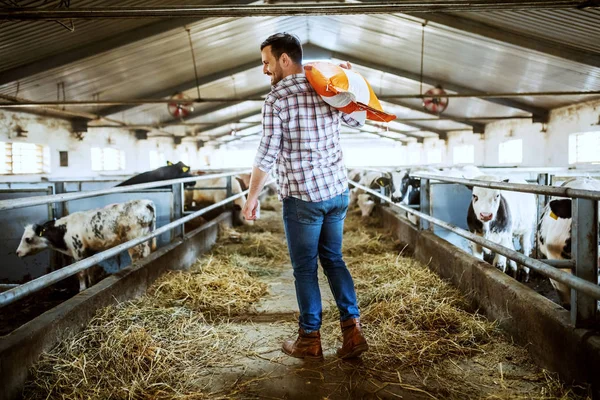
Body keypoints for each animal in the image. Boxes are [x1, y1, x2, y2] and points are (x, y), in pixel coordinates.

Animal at [17, 199, 157, 290]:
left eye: (27, 239)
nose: (17, 252)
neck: (64, 230)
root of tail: (146, 202)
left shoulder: (78, 252)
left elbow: (81, 273)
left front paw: (82, 289)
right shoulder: (89, 252)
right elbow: (90, 269)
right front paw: (91, 284)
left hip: (135, 241)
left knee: (139, 256)